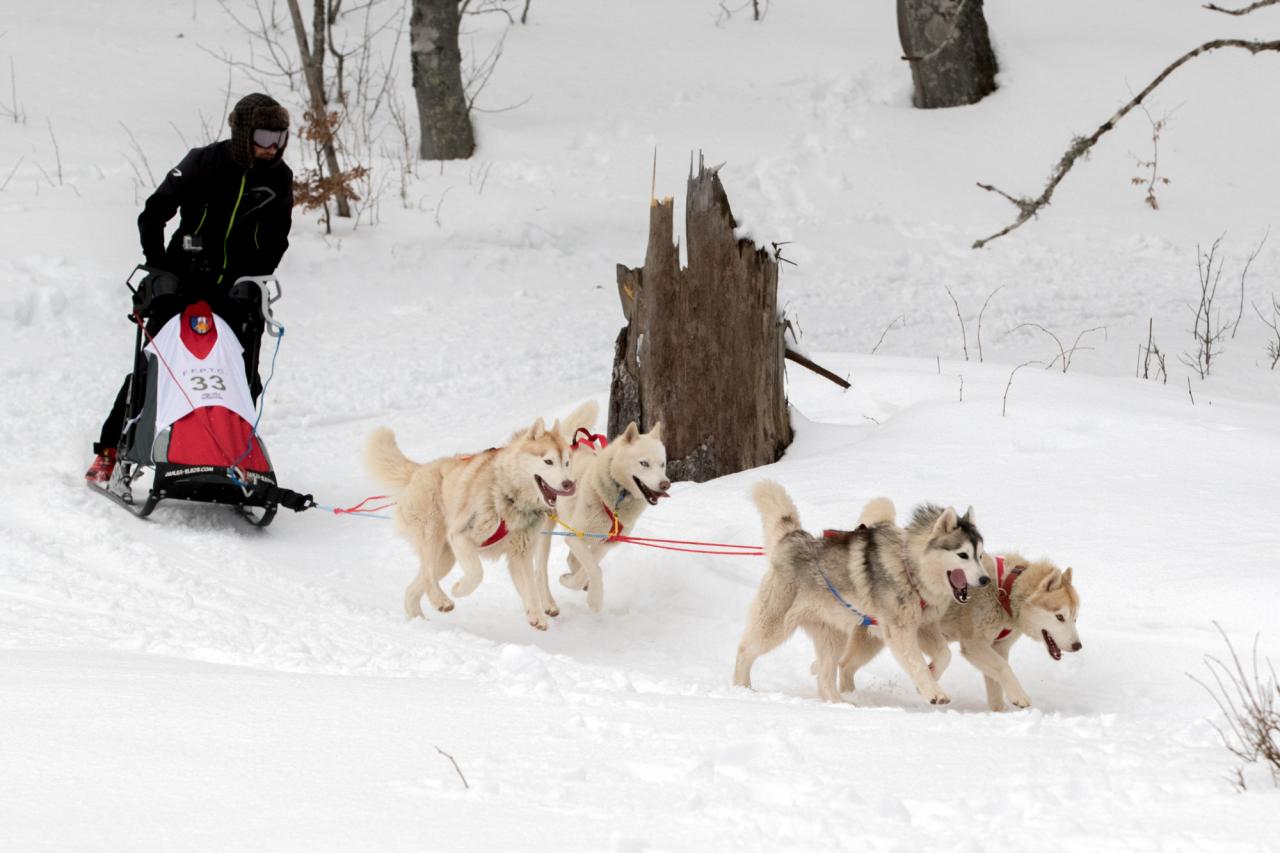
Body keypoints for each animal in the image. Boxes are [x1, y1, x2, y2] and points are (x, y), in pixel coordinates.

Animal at [363, 397, 596, 625]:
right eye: (548, 461)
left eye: (567, 462)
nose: (569, 484)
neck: (509, 498)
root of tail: (420, 469)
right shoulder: (461, 536)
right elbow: (477, 573)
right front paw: (459, 589)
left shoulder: (520, 554)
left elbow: (529, 587)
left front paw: (536, 615)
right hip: (432, 536)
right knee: (428, 576)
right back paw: (441, 600)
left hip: (446, 559)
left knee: (413, 588)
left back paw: (417, 620)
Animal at [537, 420, 670, 612]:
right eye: (644, 463)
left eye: (662, 464)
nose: (665, 484)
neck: (614, 502)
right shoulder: (574, 537)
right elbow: (594, 570)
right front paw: (594, 599)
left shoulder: (606, 544)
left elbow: (590, 568)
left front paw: (578, 582)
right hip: (546, 526)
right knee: (540, 568)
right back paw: (549, 602)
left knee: (572, 559)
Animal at [732, 479, 988, 701]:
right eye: (963, 555)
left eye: (979, 555)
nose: (985, 579)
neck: (909, 567)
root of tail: (793, 537)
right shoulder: (900, 631)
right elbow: (915, 663)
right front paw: (934, 692)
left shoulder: (924, 626)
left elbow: (944, 655)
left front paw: (932, 674)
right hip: (774, 626)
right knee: (745, 650)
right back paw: (741, 688)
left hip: (833, 637)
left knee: (825, 676)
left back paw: (839, 702)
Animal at [839, 548, 1080, 706]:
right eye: (1060, 617)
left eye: (1075, 618)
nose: (1078, 646)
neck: (1005, 591)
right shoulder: (973, 645)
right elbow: (1004, 668)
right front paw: (1019, 697)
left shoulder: (998, 648)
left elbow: (997, 685)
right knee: (845, 665)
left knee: (846, 665)